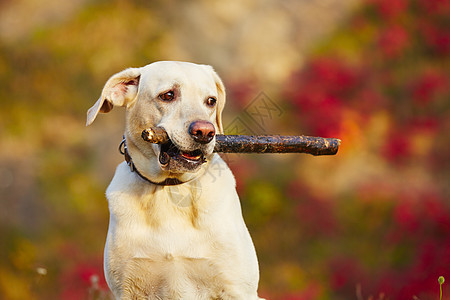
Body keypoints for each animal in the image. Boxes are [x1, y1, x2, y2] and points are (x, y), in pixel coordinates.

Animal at [86, 61, 262, 300]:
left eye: (211, 101)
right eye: (168, 95)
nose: (205, 132)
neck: (170, 189)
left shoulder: (238, 289)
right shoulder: (128, 288)